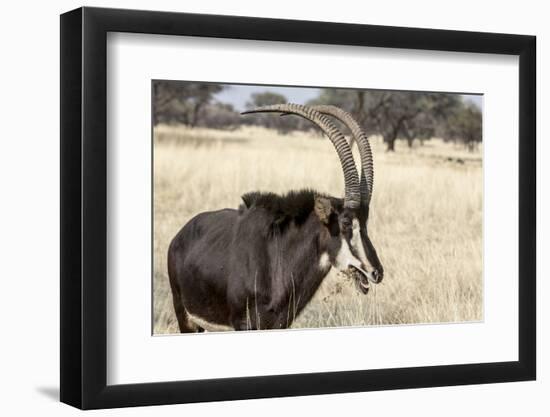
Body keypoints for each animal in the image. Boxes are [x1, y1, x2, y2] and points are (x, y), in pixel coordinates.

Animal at [168, 103, 384, 332]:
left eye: (365, 222)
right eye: (345, 222)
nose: (376, 272)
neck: (278, 257)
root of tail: (180, 235)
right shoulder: (244, 325)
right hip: (186, 319)